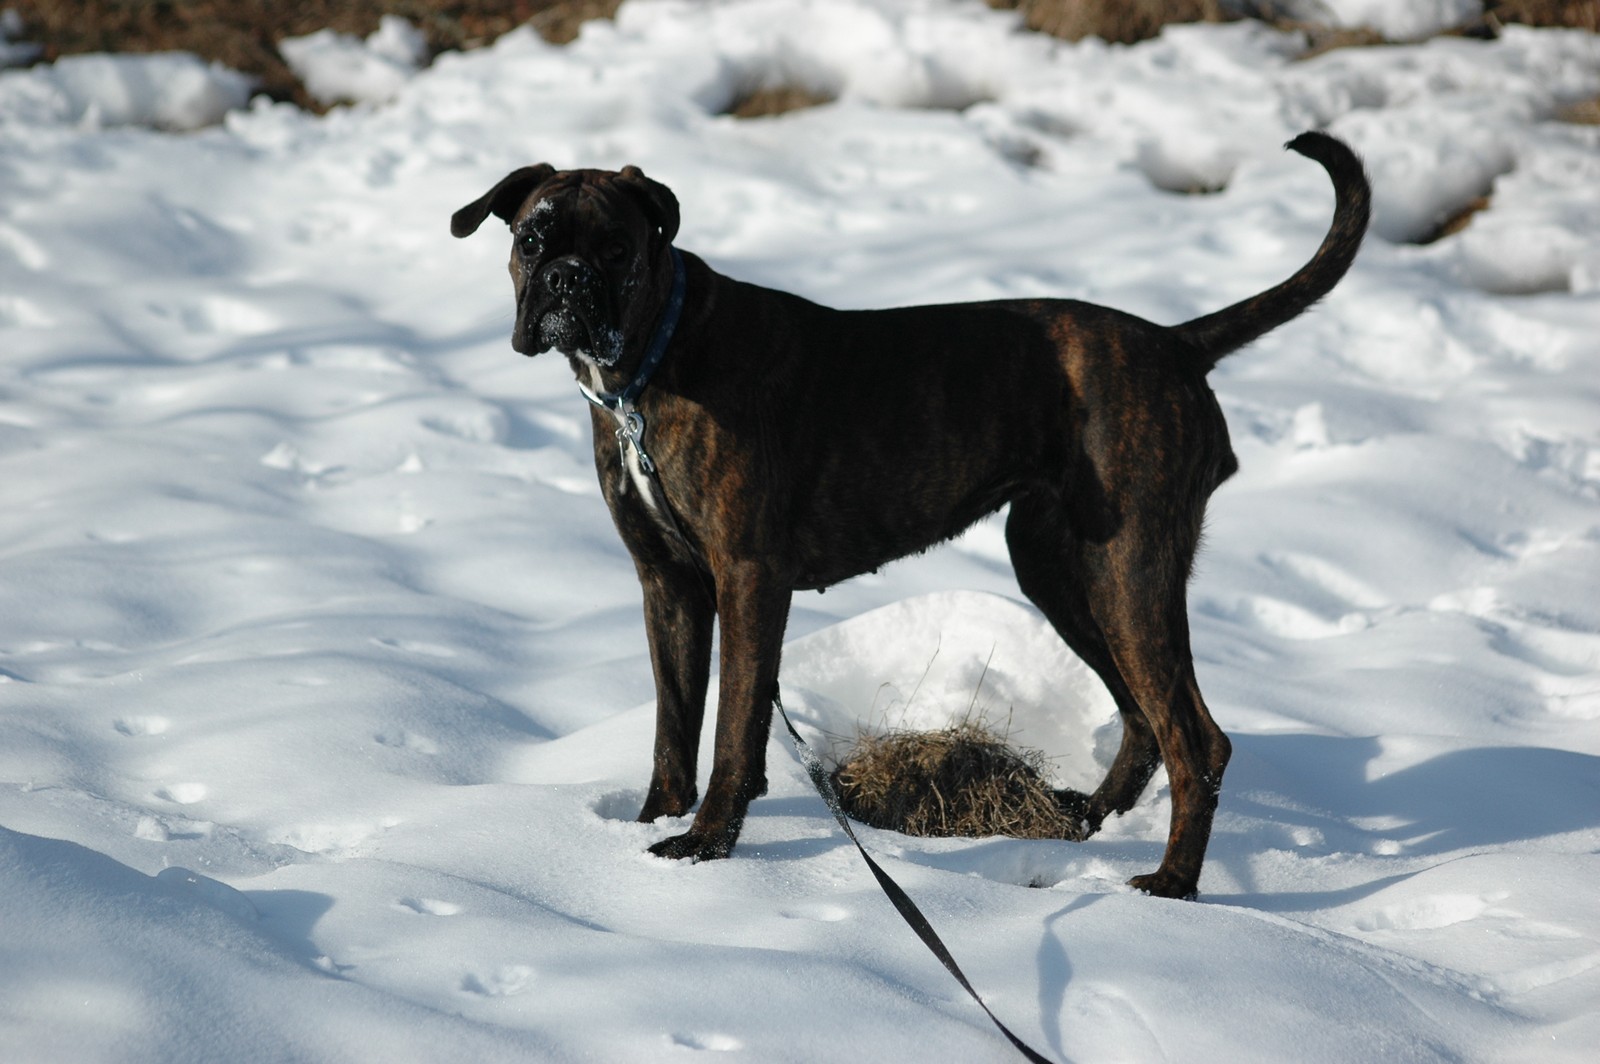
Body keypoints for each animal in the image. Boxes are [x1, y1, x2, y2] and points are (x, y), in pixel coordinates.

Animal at [452, 132, 1370, 899]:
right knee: (1144, 721)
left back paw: (1172, 884)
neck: (651, 363)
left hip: (1128, 576)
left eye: (615, 247)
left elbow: (732, 727)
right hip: (1064, 570)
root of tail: (1176, 343)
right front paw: (649, 825)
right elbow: (673, 725)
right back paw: (1084, 821)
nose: (567, 280)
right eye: (532, 239)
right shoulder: (668, 585)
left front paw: (707, 845)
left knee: (1193, 737)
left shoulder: (747, 580)